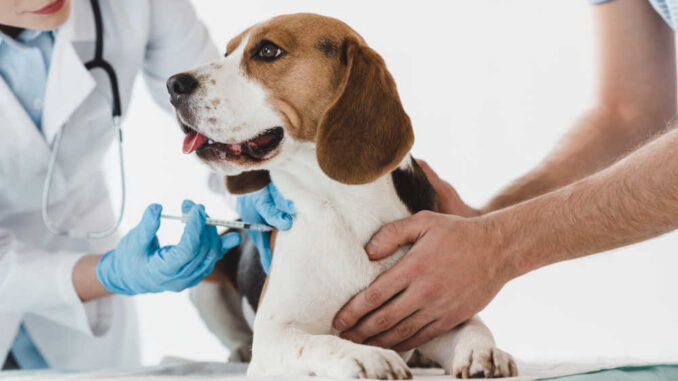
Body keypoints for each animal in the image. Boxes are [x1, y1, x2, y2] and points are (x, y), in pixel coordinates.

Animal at [167, 13, 516, 378]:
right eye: (226, 52)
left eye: (267, 51)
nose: (173, 84)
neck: (342, 208)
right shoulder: (274, 335)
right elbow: (322, 343)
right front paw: (368, 356)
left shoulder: (436, 306)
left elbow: (473, 327)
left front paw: (483, 352)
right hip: (205, 281)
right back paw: (237, 350)